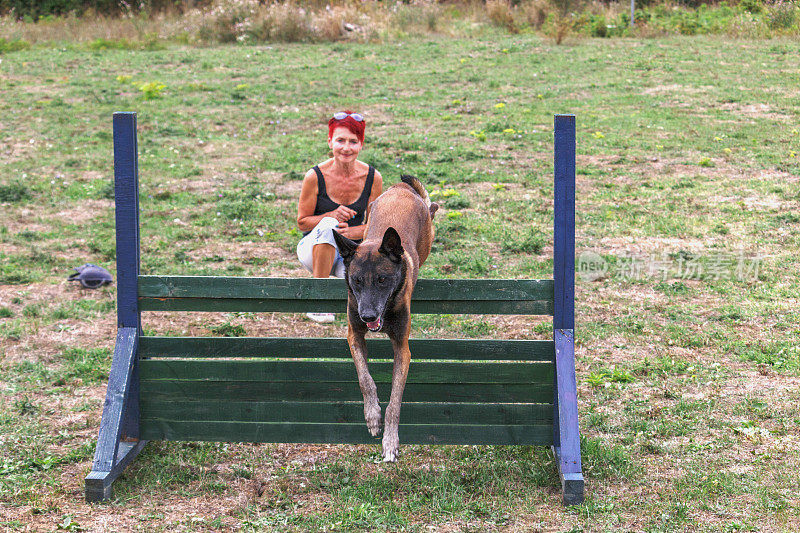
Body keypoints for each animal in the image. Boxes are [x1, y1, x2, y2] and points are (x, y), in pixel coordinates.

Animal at [334, 175, 440, 462]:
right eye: (357, 281)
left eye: (382, 280)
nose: (368, 315)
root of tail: (401, 189)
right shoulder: (354, 334)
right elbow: (365, 380)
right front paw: (372, 416)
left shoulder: (402, 348)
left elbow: (395, 401)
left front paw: (390, 440)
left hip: (427, 238)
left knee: (431, 213)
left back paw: (433, 206)